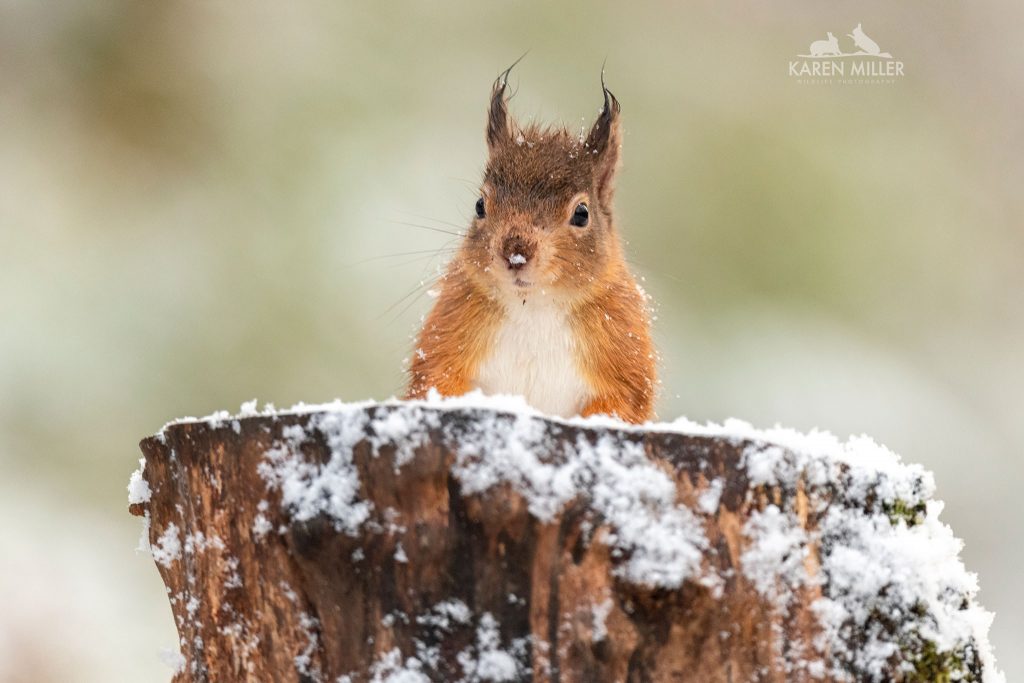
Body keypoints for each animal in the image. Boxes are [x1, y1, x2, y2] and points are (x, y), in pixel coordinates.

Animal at [405, 65, 656, 424]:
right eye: (480, 205)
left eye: (582, 213)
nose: (516, 254)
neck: (534, 306)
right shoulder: (446, 336)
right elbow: (437, 379)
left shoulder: (623, 354)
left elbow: (620, 402)